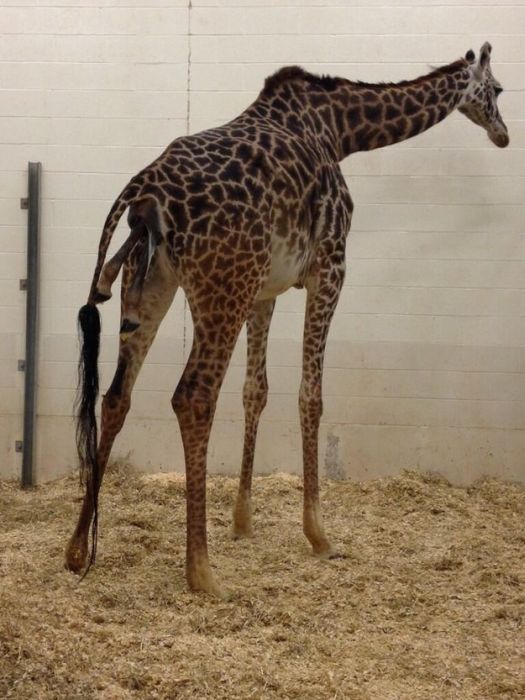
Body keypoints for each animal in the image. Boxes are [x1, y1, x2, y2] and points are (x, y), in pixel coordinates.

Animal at [65, 42, 508, 596]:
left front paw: (243, 521)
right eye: (498, 90)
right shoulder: (330, 267)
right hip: (221, 287)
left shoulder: (265, 290)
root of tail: (145, 191)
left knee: (116, 397)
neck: (340, 130)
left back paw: (78, 549)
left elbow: (256, 391)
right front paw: (319, 534)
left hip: (149, 286)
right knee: (193, 397)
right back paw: (202, 572)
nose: (503, 134)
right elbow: (310, 396)